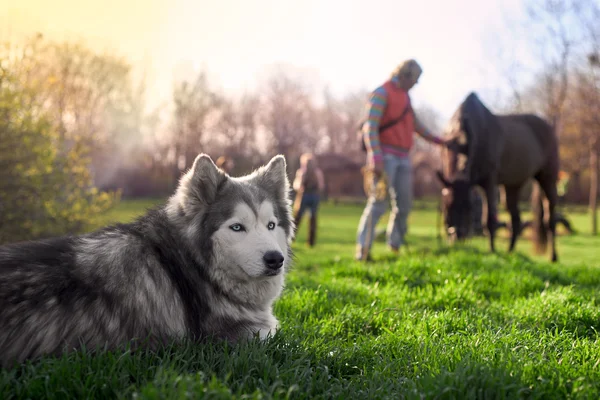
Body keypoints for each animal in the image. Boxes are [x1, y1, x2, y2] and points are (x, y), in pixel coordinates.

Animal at [0, 155, 292, 368]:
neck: (191, 263)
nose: (275, 259)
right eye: (237, 227)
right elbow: (283, 335)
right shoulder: (237, 337)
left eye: (271, 225)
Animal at [436, 93, 556, 262]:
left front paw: (492, 251)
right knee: (516, 219)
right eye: (447, 207)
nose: (457, 237)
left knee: (549, 218)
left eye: (469, 208)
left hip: (548, 177)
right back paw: (510, 252)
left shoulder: (489, 181)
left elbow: (489, 220)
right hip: (513, 185)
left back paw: (553, 257)